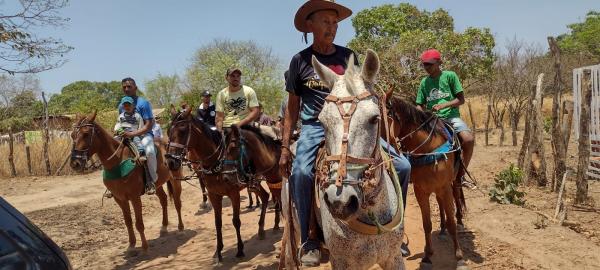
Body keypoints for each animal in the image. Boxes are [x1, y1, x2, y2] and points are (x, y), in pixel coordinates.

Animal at [69, 111, 184, 251]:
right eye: (72, 135)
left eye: (86, 134)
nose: (75, 163)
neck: (117, 162)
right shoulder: (120, 198)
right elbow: (128, 221)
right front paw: (131, 245)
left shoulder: (135, 197)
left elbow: (139, 223)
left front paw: (145, 247)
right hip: (157, 185)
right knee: (163, 199)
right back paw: (164, 227)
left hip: (176, 180)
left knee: (177, 203)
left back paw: (181, 228)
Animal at [163, 106, 268, 262]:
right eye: (168, 132)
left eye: (182, 131)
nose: (170, 162)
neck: (215, 162)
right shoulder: (214, 195)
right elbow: (217, 223)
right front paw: (218, 252)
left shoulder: (234, 194)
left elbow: (236, 221)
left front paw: (240, 250)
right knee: (265, 196)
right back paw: (261, 229)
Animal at [384, 97, 468, 270]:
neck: (429, 150)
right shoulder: (420, 190)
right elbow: (427, 224)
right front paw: (427, 256)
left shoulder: (444, 187)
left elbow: (451, 224)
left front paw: (459, 257)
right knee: (440, 203)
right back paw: (441, 229)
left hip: (454, 180)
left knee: (457, 196)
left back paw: (460, 221)